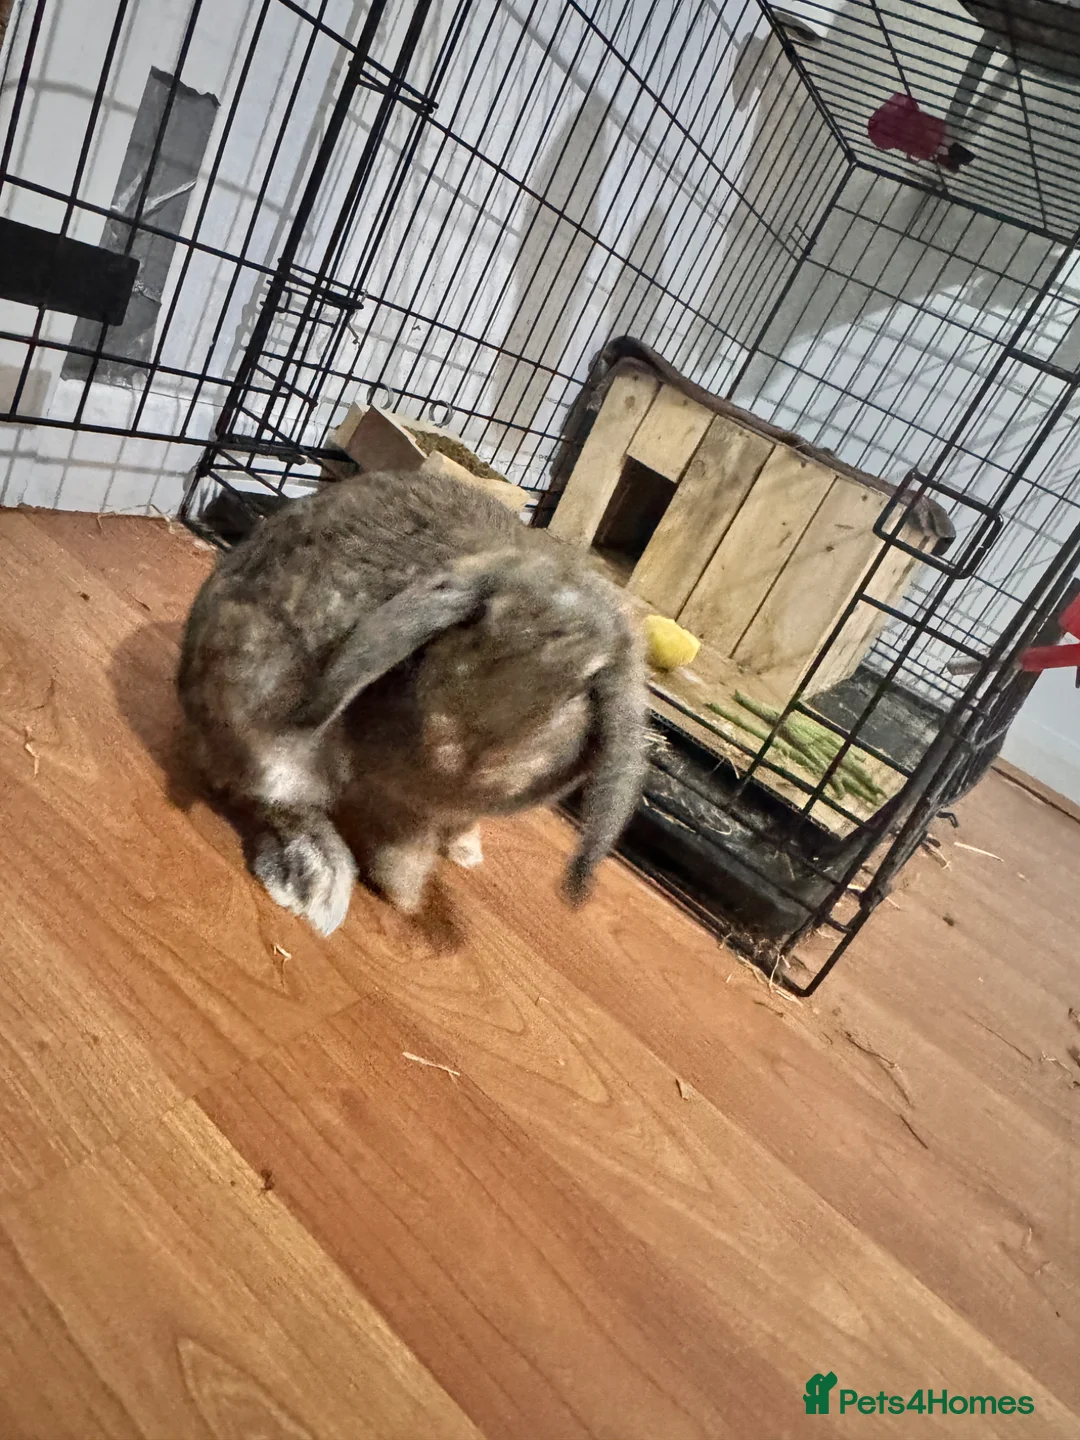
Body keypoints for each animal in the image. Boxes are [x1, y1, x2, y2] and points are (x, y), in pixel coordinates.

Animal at [176, 466, 647, 934]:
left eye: (583, 686)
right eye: (475, 623)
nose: (461, 750)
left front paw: (447, 862)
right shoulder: (399, 802)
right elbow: (403, 847)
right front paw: (405, 898)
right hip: (268, 743)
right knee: (279, 805)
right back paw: (317, 885)